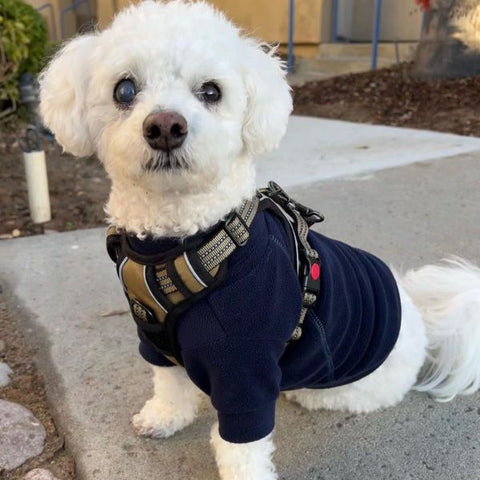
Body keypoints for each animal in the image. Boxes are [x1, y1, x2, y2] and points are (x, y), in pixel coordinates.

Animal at [40, 1, 480, 478]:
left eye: (210, 91)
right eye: (124, 89)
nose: (165, 126)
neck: (185, 244)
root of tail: (418, 316)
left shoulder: (244, 370)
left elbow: (242, 445)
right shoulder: (155, 341)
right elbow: (170, 384)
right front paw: (165, 417)